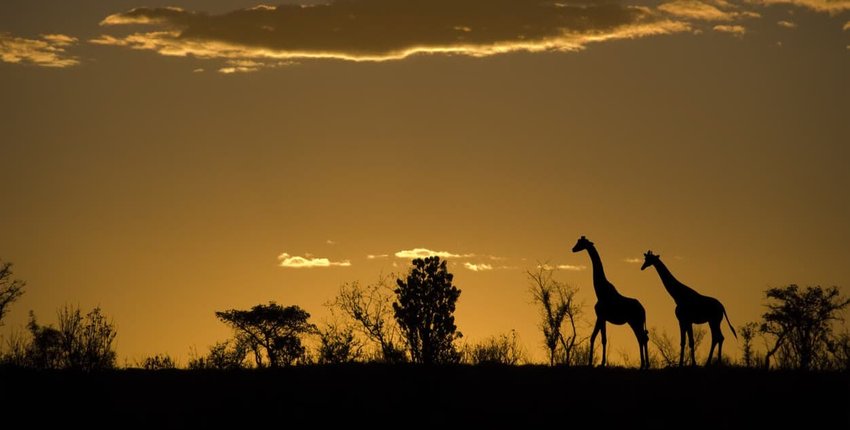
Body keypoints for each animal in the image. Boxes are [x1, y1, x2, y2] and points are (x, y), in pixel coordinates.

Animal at [572, 235, 644, 370]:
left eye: (580, 242)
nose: (573, 249)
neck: (600, 291)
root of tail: (643, 310)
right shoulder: (600, 317)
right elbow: (594, 337)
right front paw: (591, 362)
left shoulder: (602, 316)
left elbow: (603, 339)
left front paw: (601, 363)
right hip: (636, 322)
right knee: (643, 338)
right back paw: (645, 364)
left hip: (634, 321)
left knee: (641, 338)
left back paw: (643, 365)